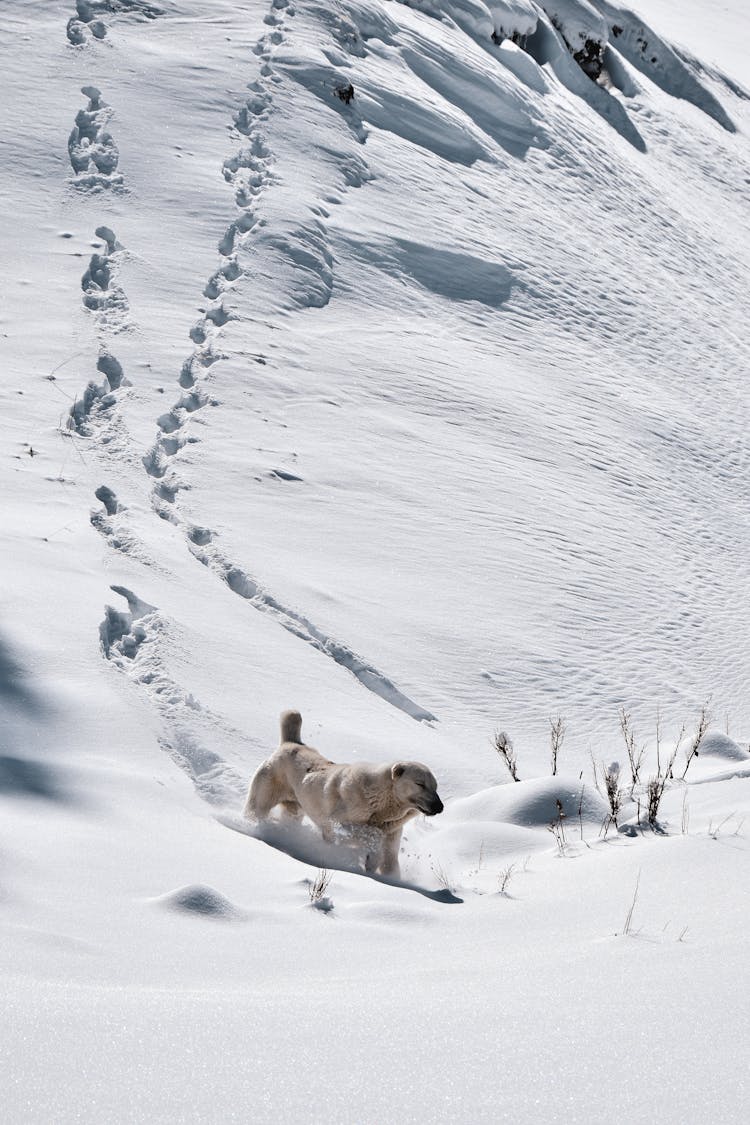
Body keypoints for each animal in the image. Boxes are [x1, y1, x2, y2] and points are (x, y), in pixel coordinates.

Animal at [244, 711, 443, 877]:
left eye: (435, 787)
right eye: (420, 784)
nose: (439, 807)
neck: (382, 801)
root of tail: (290, 743)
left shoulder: (393, 828)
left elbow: (390, 858)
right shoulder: (349, 809)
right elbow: (355, 829)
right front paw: (371, 858)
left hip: (296, 800)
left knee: (291, 816)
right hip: (272, 779)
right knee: (257, 806)